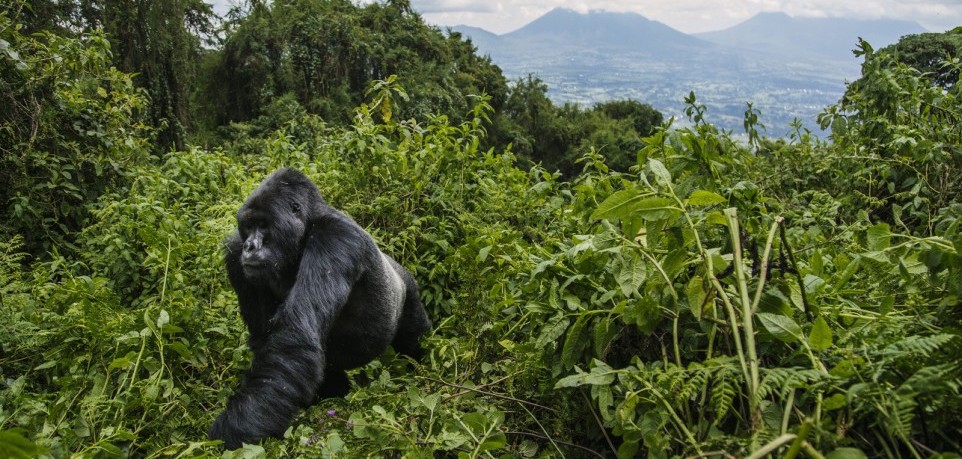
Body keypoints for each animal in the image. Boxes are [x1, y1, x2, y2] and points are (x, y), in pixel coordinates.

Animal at [215, 169, 436, 450]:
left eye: (263, 225)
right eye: (248, 226)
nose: (250, 247)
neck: (306, 226)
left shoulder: (335, 239)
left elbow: (294, 340)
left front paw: (234, 430)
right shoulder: (235, 256)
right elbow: (271, 345)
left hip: (409, 291)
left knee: (414, 341)